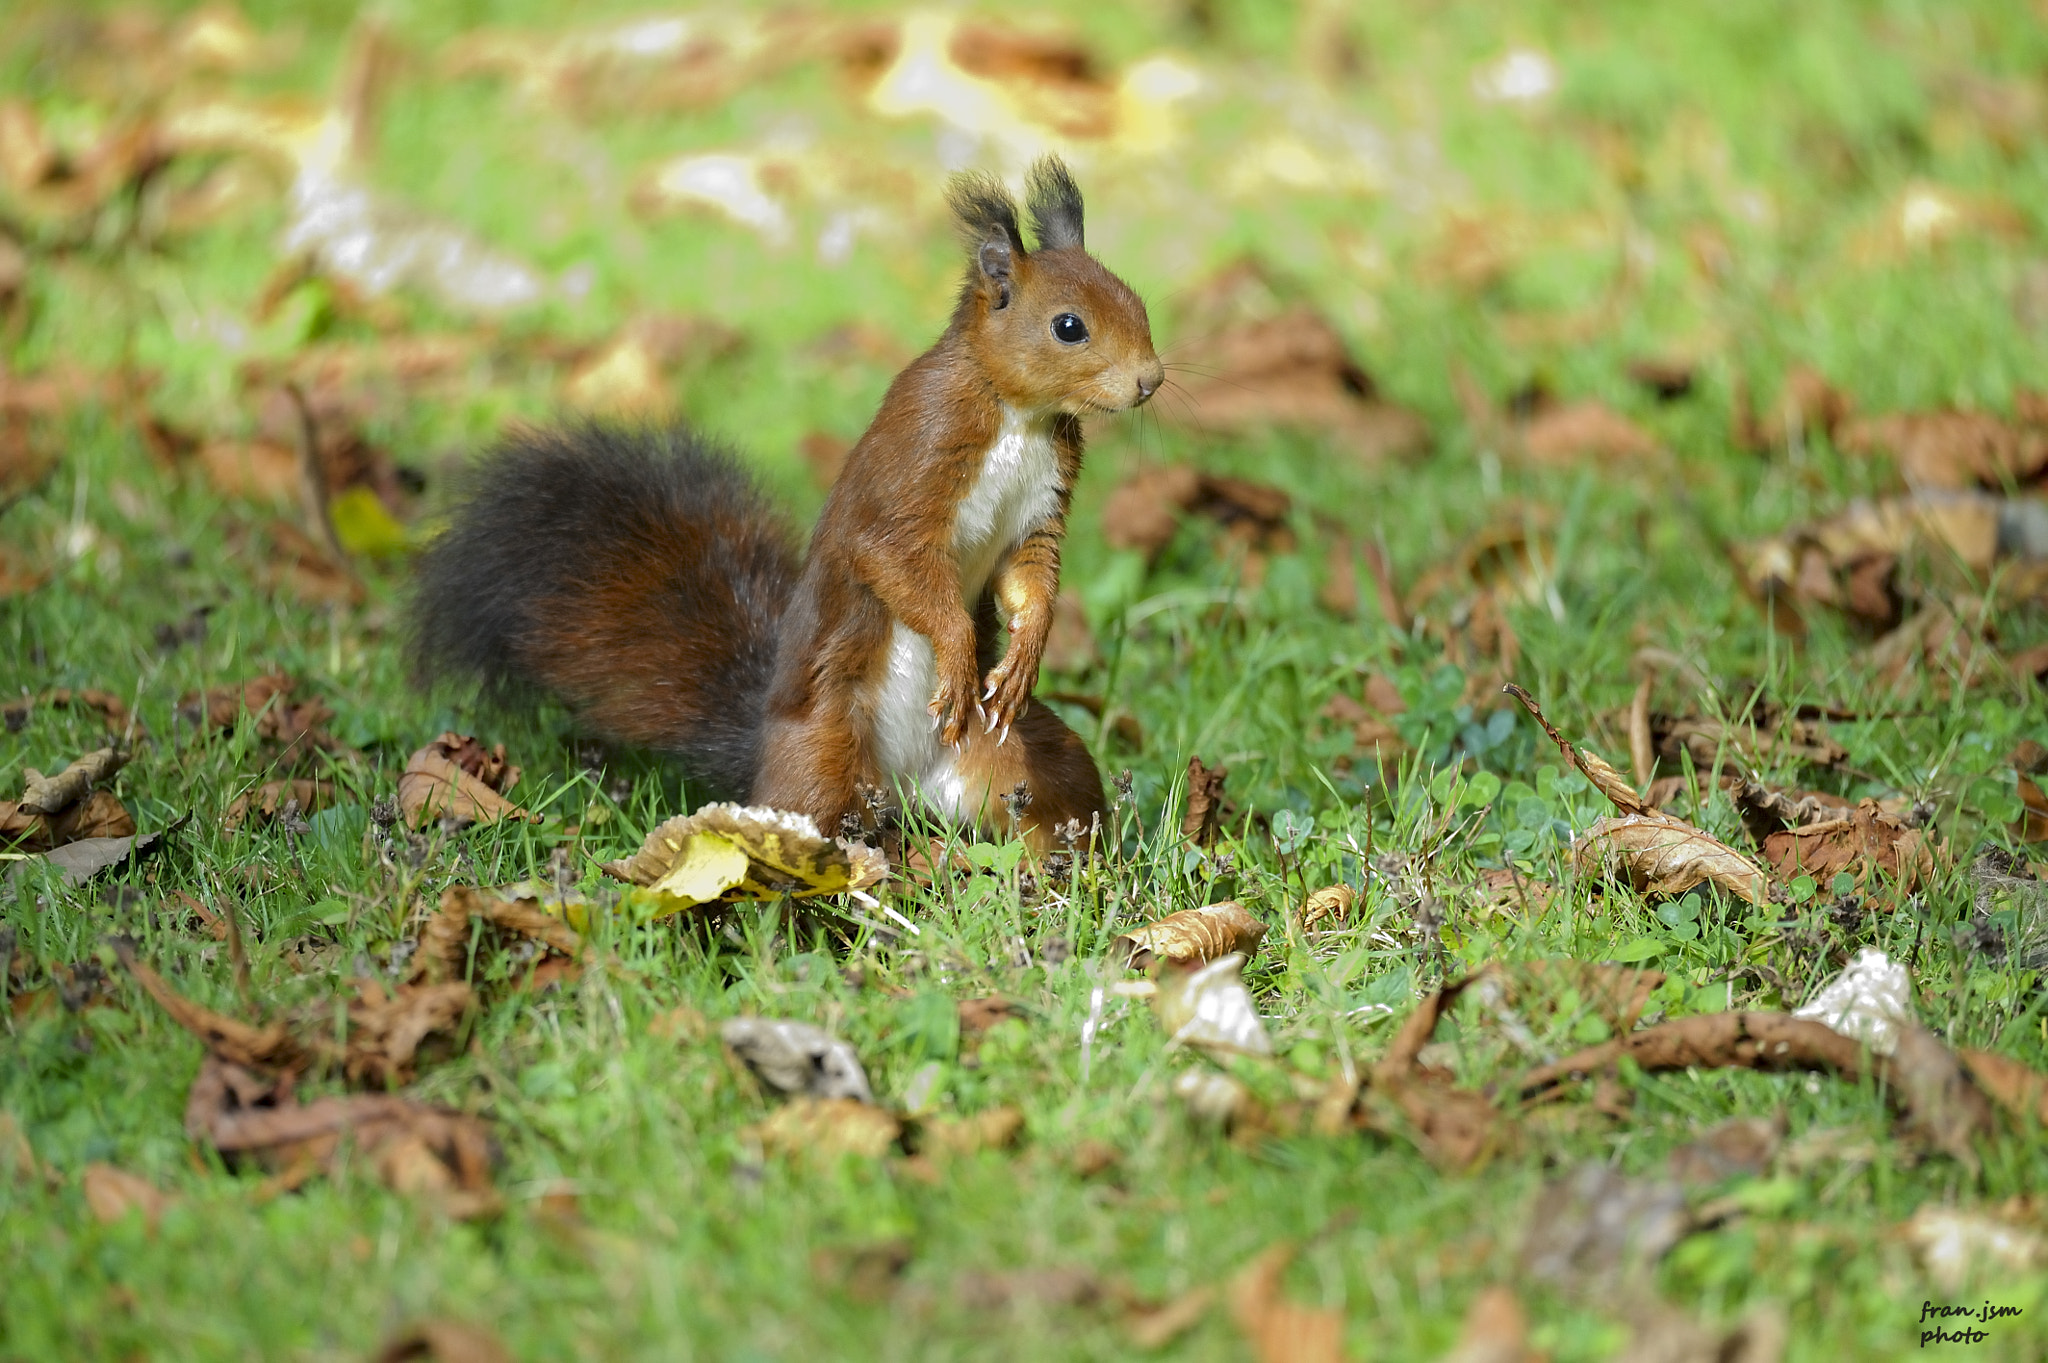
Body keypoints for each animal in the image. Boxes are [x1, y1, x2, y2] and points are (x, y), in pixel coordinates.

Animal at [409, 157, 1164, 853]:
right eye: (1069, 326)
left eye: (1138, 302)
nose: (1151, 380)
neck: (1020, 415)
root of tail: (905, 789)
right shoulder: (920, 458)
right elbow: (890, 557)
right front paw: (958, 651)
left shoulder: (1041, 504)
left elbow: (1029, 575)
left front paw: (1022, 657)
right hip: (824, 753)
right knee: (811, 823)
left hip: (1027, 759)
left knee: (1052, 798)